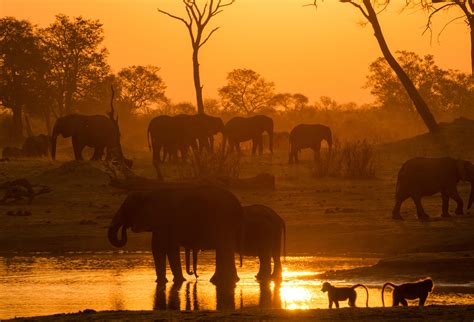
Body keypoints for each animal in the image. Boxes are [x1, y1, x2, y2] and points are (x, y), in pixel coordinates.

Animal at [108, 186, 244, 286]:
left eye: (126, 209)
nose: (125, 227)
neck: (148, 193)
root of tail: (239, 206)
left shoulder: (162, 221)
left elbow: (159, 247)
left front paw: (162, 282)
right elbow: (170, 248)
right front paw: (178, 281)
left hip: (223, 221)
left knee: (224, 248)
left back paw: (220, 281)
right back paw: (227, 280)